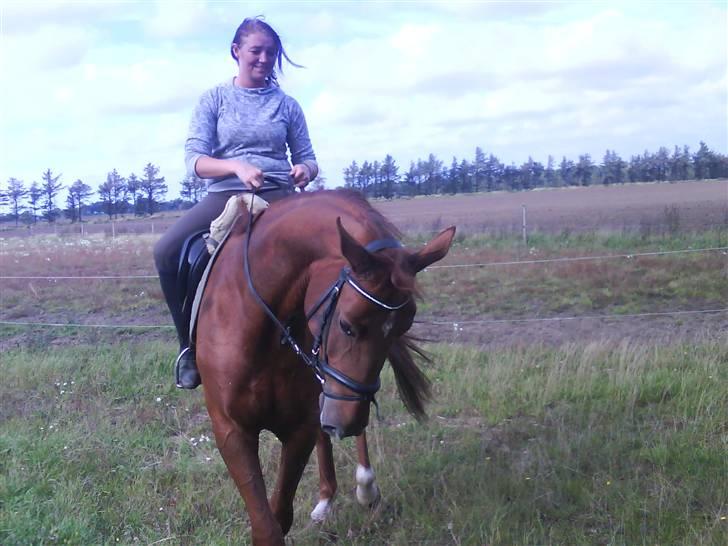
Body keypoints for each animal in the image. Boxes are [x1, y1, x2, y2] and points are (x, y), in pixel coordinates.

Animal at [196, 189, 452, 540]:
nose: (348, 423)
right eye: (346, 325)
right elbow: (267, 526)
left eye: (403, 328)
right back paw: (328, 498)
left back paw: (364, 487)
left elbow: (280, 514)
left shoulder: (300, 429)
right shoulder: (231, 431)